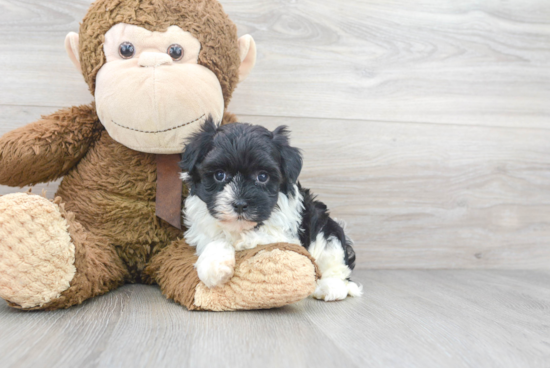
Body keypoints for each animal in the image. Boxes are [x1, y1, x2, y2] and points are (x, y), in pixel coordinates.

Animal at [180, 119, 362, 300]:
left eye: (262, 176)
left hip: (328, 231)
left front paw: (240, 243)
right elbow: (214, 238)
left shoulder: (286, 234)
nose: (240, 204)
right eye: (219, 175)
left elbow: (258, 237)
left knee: (335, 264)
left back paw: (330, 288)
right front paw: (213, 267)